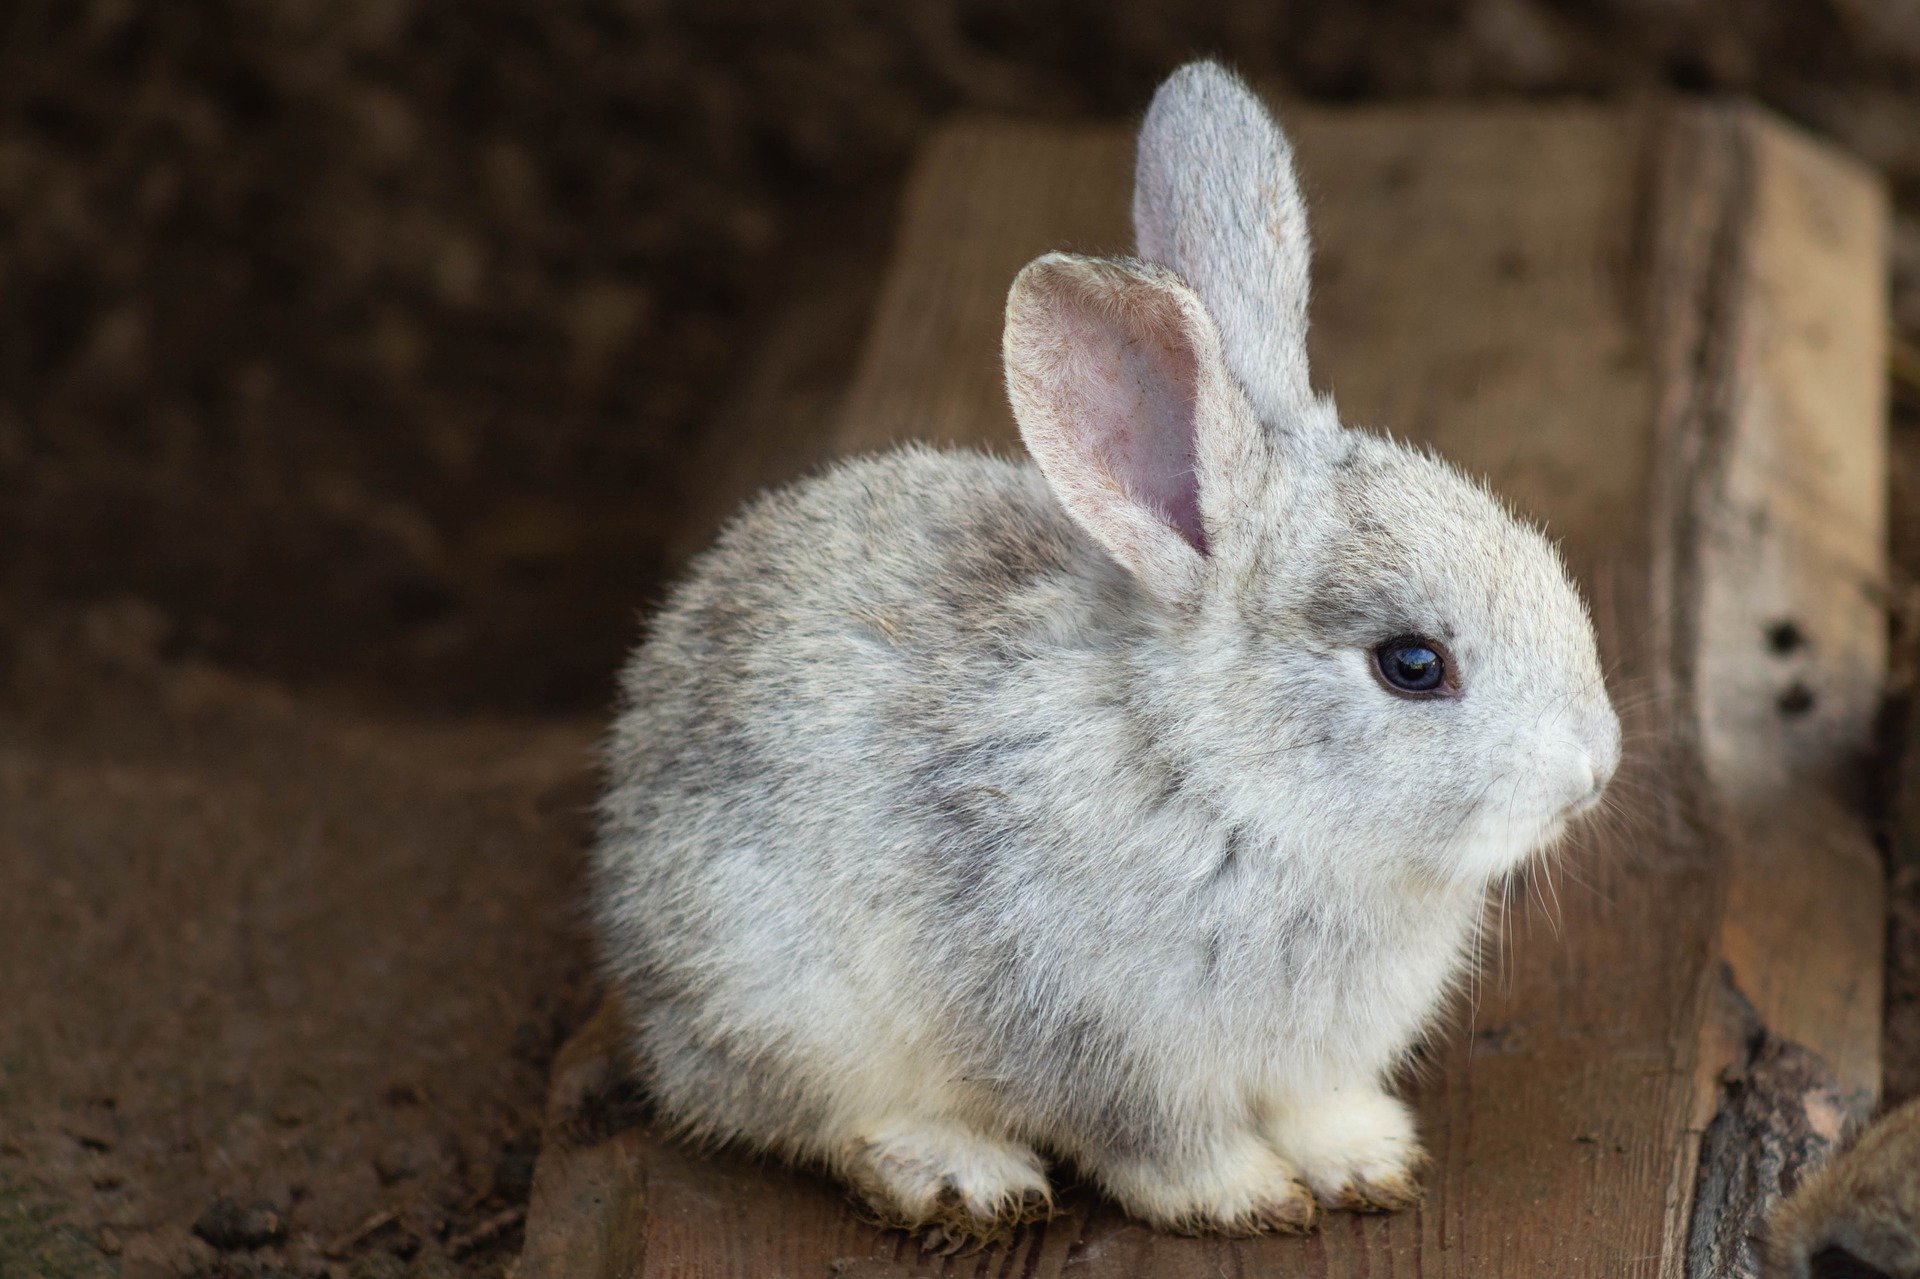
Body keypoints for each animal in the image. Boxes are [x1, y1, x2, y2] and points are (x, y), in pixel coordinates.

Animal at [591, 59, 1612, 1236]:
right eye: (1412, 665)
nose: (1596, 768)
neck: (1223, 782)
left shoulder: (1309, 1063)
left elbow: (1318, 1107)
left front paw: (1368, 1161)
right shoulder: (1103, 1045)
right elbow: (1161, 1145)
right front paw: (1247, 1198)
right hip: (783, 997)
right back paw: (962, 1174)